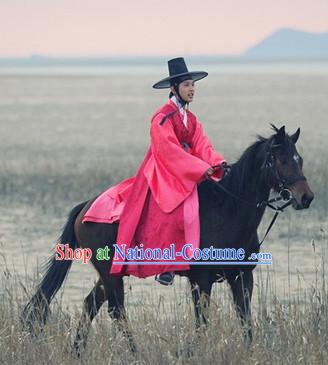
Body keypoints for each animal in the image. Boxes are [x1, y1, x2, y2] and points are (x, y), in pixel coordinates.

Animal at [21, 124, 314, 352]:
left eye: (299, 159)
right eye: (283, 160)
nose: (306, 197)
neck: (229, 210)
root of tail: (85, 207)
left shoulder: (242, 277)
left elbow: (246, 321)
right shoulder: (201, 280)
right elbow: (202, 322)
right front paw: (191, 353)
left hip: (110, 274)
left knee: (91, 304)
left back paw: (78, 351)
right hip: (110, 273)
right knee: (116, 310)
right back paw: (135, 353)